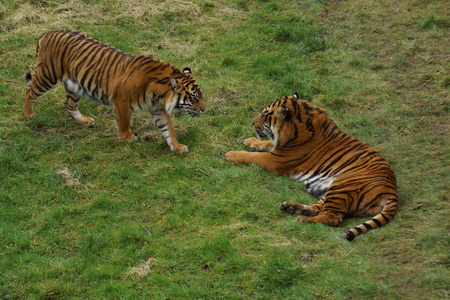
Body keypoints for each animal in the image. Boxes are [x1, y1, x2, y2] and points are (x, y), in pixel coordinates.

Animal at [23, 29, 205, 154]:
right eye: (194, 98)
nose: (204, 109)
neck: (160, 95)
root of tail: (47, 33)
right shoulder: (122, 102)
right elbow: (123, 122)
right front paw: (127, 138)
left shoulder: (158, 109)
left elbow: (168, 129)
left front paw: (177, 146)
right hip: (47, 75)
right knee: (29, 91)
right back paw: (28, 113)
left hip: (74, 86)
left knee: (68, 105)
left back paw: (85, 121)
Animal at [227, 94, 400, 241]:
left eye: (264, 115)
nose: (252, 122)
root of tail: (392, 191)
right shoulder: (278, 149)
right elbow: (266, 143)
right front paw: (249, 141)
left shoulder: (275, 160)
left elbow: (254, 156)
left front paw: (232, 154)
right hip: (330, 190)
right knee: (320, 208)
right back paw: (291, 207)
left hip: (342, 186)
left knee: (333, 217)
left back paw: (303, 219)